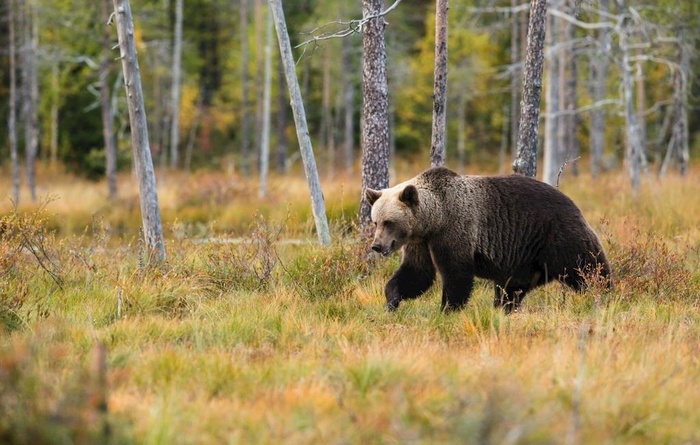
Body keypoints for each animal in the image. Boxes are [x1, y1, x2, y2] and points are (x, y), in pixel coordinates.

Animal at [366, 165, 612, 310]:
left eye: (389, 222)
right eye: (376, 221)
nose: (377, 245)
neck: (434, 219)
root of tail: (572, 202)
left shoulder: (455, 230)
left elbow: (456, 274)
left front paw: (448, 309)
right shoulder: (420, 243)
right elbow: (416, 273)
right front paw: (392, 299)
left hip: (558, 236)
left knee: (588, 267)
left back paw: (605, 295)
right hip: (523, 259)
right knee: (511, 289)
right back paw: (504, 308)